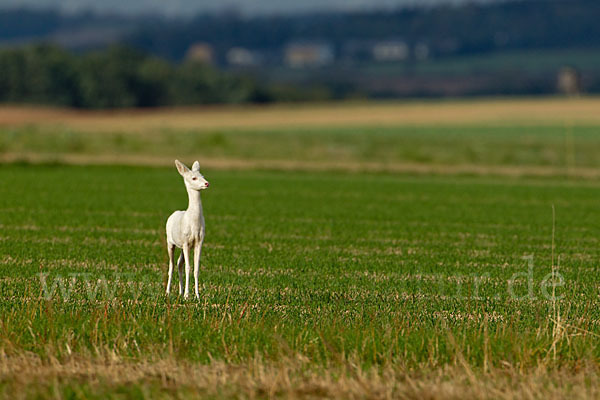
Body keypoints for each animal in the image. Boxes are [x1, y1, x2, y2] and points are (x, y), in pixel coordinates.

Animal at [165, 159, 210, 296]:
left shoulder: (199, 242)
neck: (194, 224)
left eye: (202, 175)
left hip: (183, 247)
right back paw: (168, 292)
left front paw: (197, 295)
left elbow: (196, 268)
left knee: (179, 264)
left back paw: (179, 291)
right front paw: (187, 295)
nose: (207, 183)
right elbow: (188, 268)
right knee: (171, 265)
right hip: (170, 242)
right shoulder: (185, 241)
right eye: (194, 178)